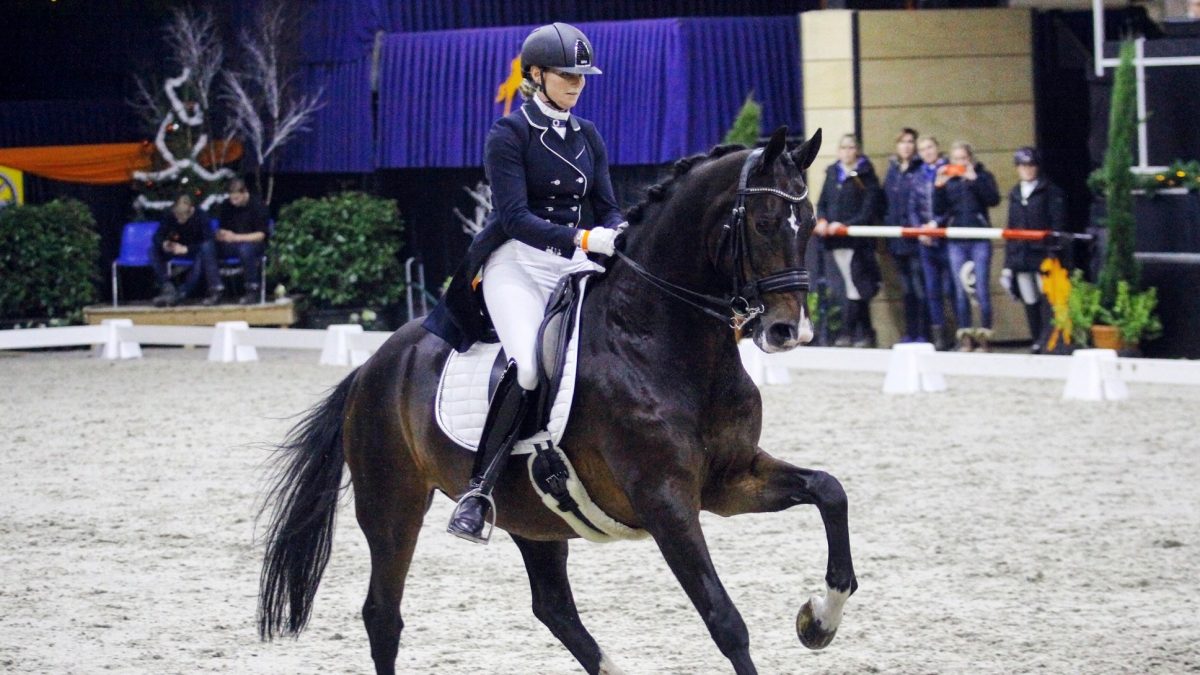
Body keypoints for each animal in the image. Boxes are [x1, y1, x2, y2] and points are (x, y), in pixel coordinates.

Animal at [255, 126, 854, 672]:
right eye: (763, 223)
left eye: (811, 222)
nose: (788, 331)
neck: (660, 341)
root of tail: (372, 366)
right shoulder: (665, 500)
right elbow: (725, 620)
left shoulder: (729, 479)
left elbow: (830, 490)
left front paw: (818, 621)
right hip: (392, 504)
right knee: (383, 615)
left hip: (530, 515)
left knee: (554, 609)